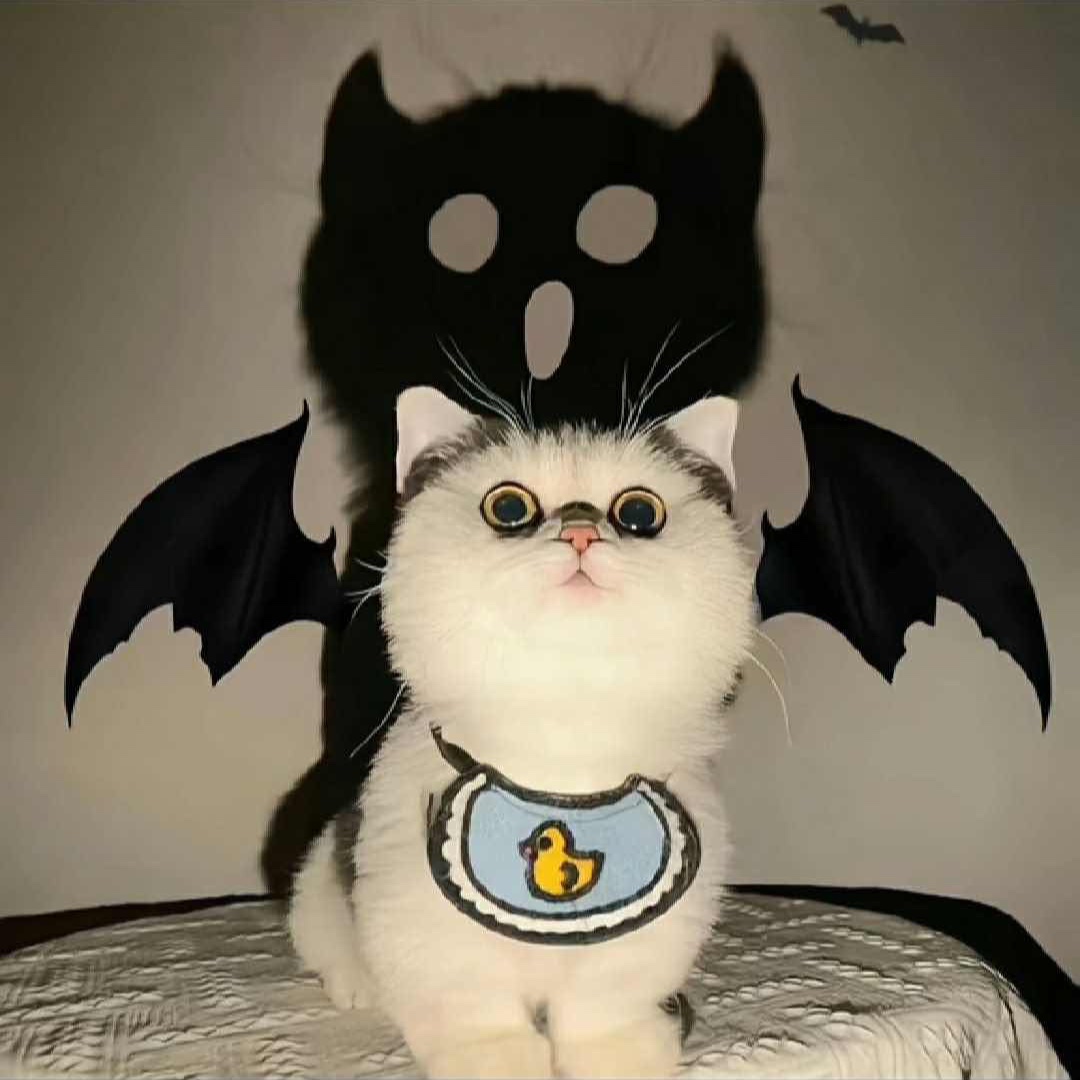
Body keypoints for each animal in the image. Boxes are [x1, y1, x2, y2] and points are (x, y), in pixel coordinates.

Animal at [288, 383, 755, 1078]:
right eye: (508, 508)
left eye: (639, 514)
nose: (582, 532)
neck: (563, 741)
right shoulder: (418, 913)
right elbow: (471, 1003)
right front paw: (495, 1058)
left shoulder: (654, 924)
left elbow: (605, 1002)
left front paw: (620, 1055)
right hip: (322, 873)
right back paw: (356, 985)